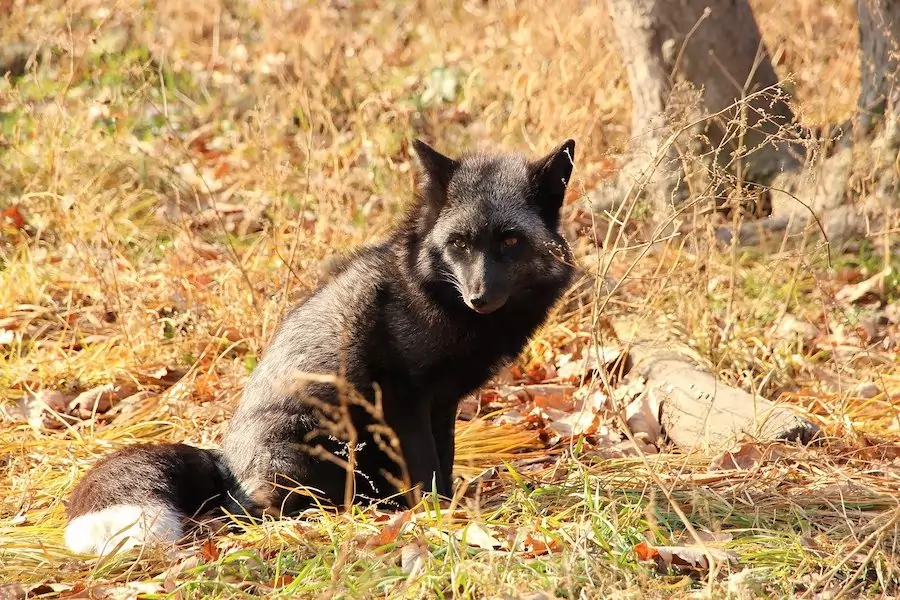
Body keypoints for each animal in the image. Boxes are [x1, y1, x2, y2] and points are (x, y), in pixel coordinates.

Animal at [65, 138, 576, 556]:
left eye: (509, 240)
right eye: (460, 243)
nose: (479, 297)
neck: (432, 296)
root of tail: (225, 462)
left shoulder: (443, 401)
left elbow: (444, 459)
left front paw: (447, 505)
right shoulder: (401, 399)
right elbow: (425, 465)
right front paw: (435, 513)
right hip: (318, 451)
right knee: (249, 514)